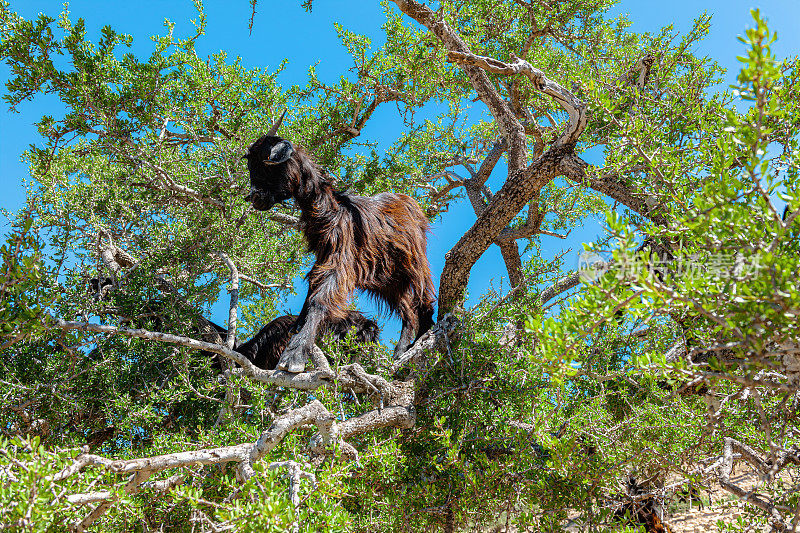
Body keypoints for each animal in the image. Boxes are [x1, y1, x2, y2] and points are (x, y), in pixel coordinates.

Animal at [245, 113, 438, 370]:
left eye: (267, 164)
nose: (253, 197)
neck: (331, 213)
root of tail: (409, 203)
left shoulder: (342, 257)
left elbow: (320, 300)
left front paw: (294, 355)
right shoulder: (324, 256)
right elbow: (312, 289)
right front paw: (298, 327)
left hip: (413, 263)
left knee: (423, 300)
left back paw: (419, 342)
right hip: (387, 279)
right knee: (407, 310)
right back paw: (399, 353)